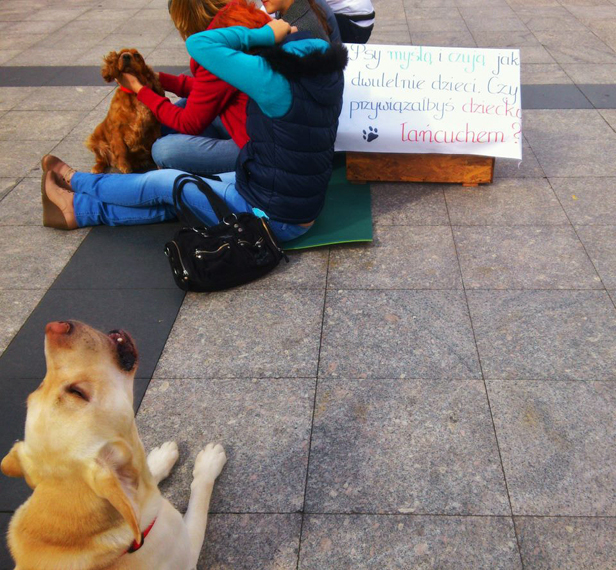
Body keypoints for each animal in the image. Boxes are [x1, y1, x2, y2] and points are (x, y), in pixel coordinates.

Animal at [0, 320, 226, 568]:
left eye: (38, 388)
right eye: (78, 392)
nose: (55, 326)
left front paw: (159, 457)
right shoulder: (186, 548)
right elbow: (199, 499)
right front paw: (209, 463)